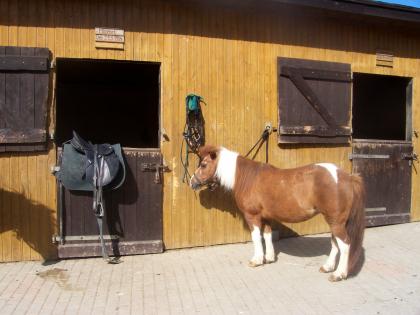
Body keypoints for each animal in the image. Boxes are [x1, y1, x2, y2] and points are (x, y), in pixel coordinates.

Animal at [190, 145, 364, 282]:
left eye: (203, 165)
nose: (192, 181)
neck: (247, 178)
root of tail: (347, 177)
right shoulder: (265, 217)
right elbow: (267, 235)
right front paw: (269, 258)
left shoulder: (252, 216)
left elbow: (256, 237)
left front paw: (257, 260)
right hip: (335, 221)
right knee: (335, 243)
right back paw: (327, 267)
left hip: (336, 221)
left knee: (345, 244)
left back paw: (338, 274)